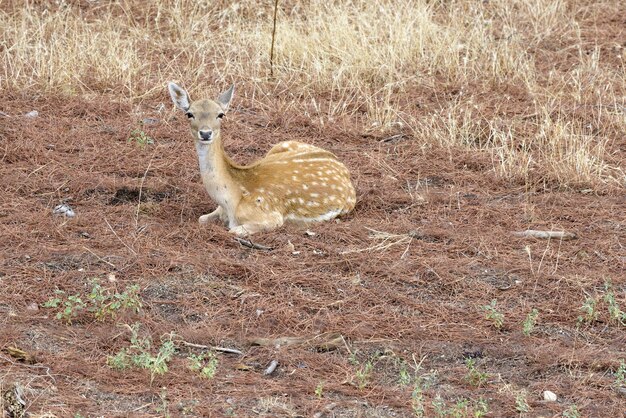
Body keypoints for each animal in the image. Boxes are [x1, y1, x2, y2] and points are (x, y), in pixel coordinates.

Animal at [166, 82, 354, 237]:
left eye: (221, 114)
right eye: (189, 114)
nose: (205, 133)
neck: (230, 201)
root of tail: (343, 167)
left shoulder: (271, 217)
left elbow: (234, 230)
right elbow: (201, 219)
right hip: (280, 145)